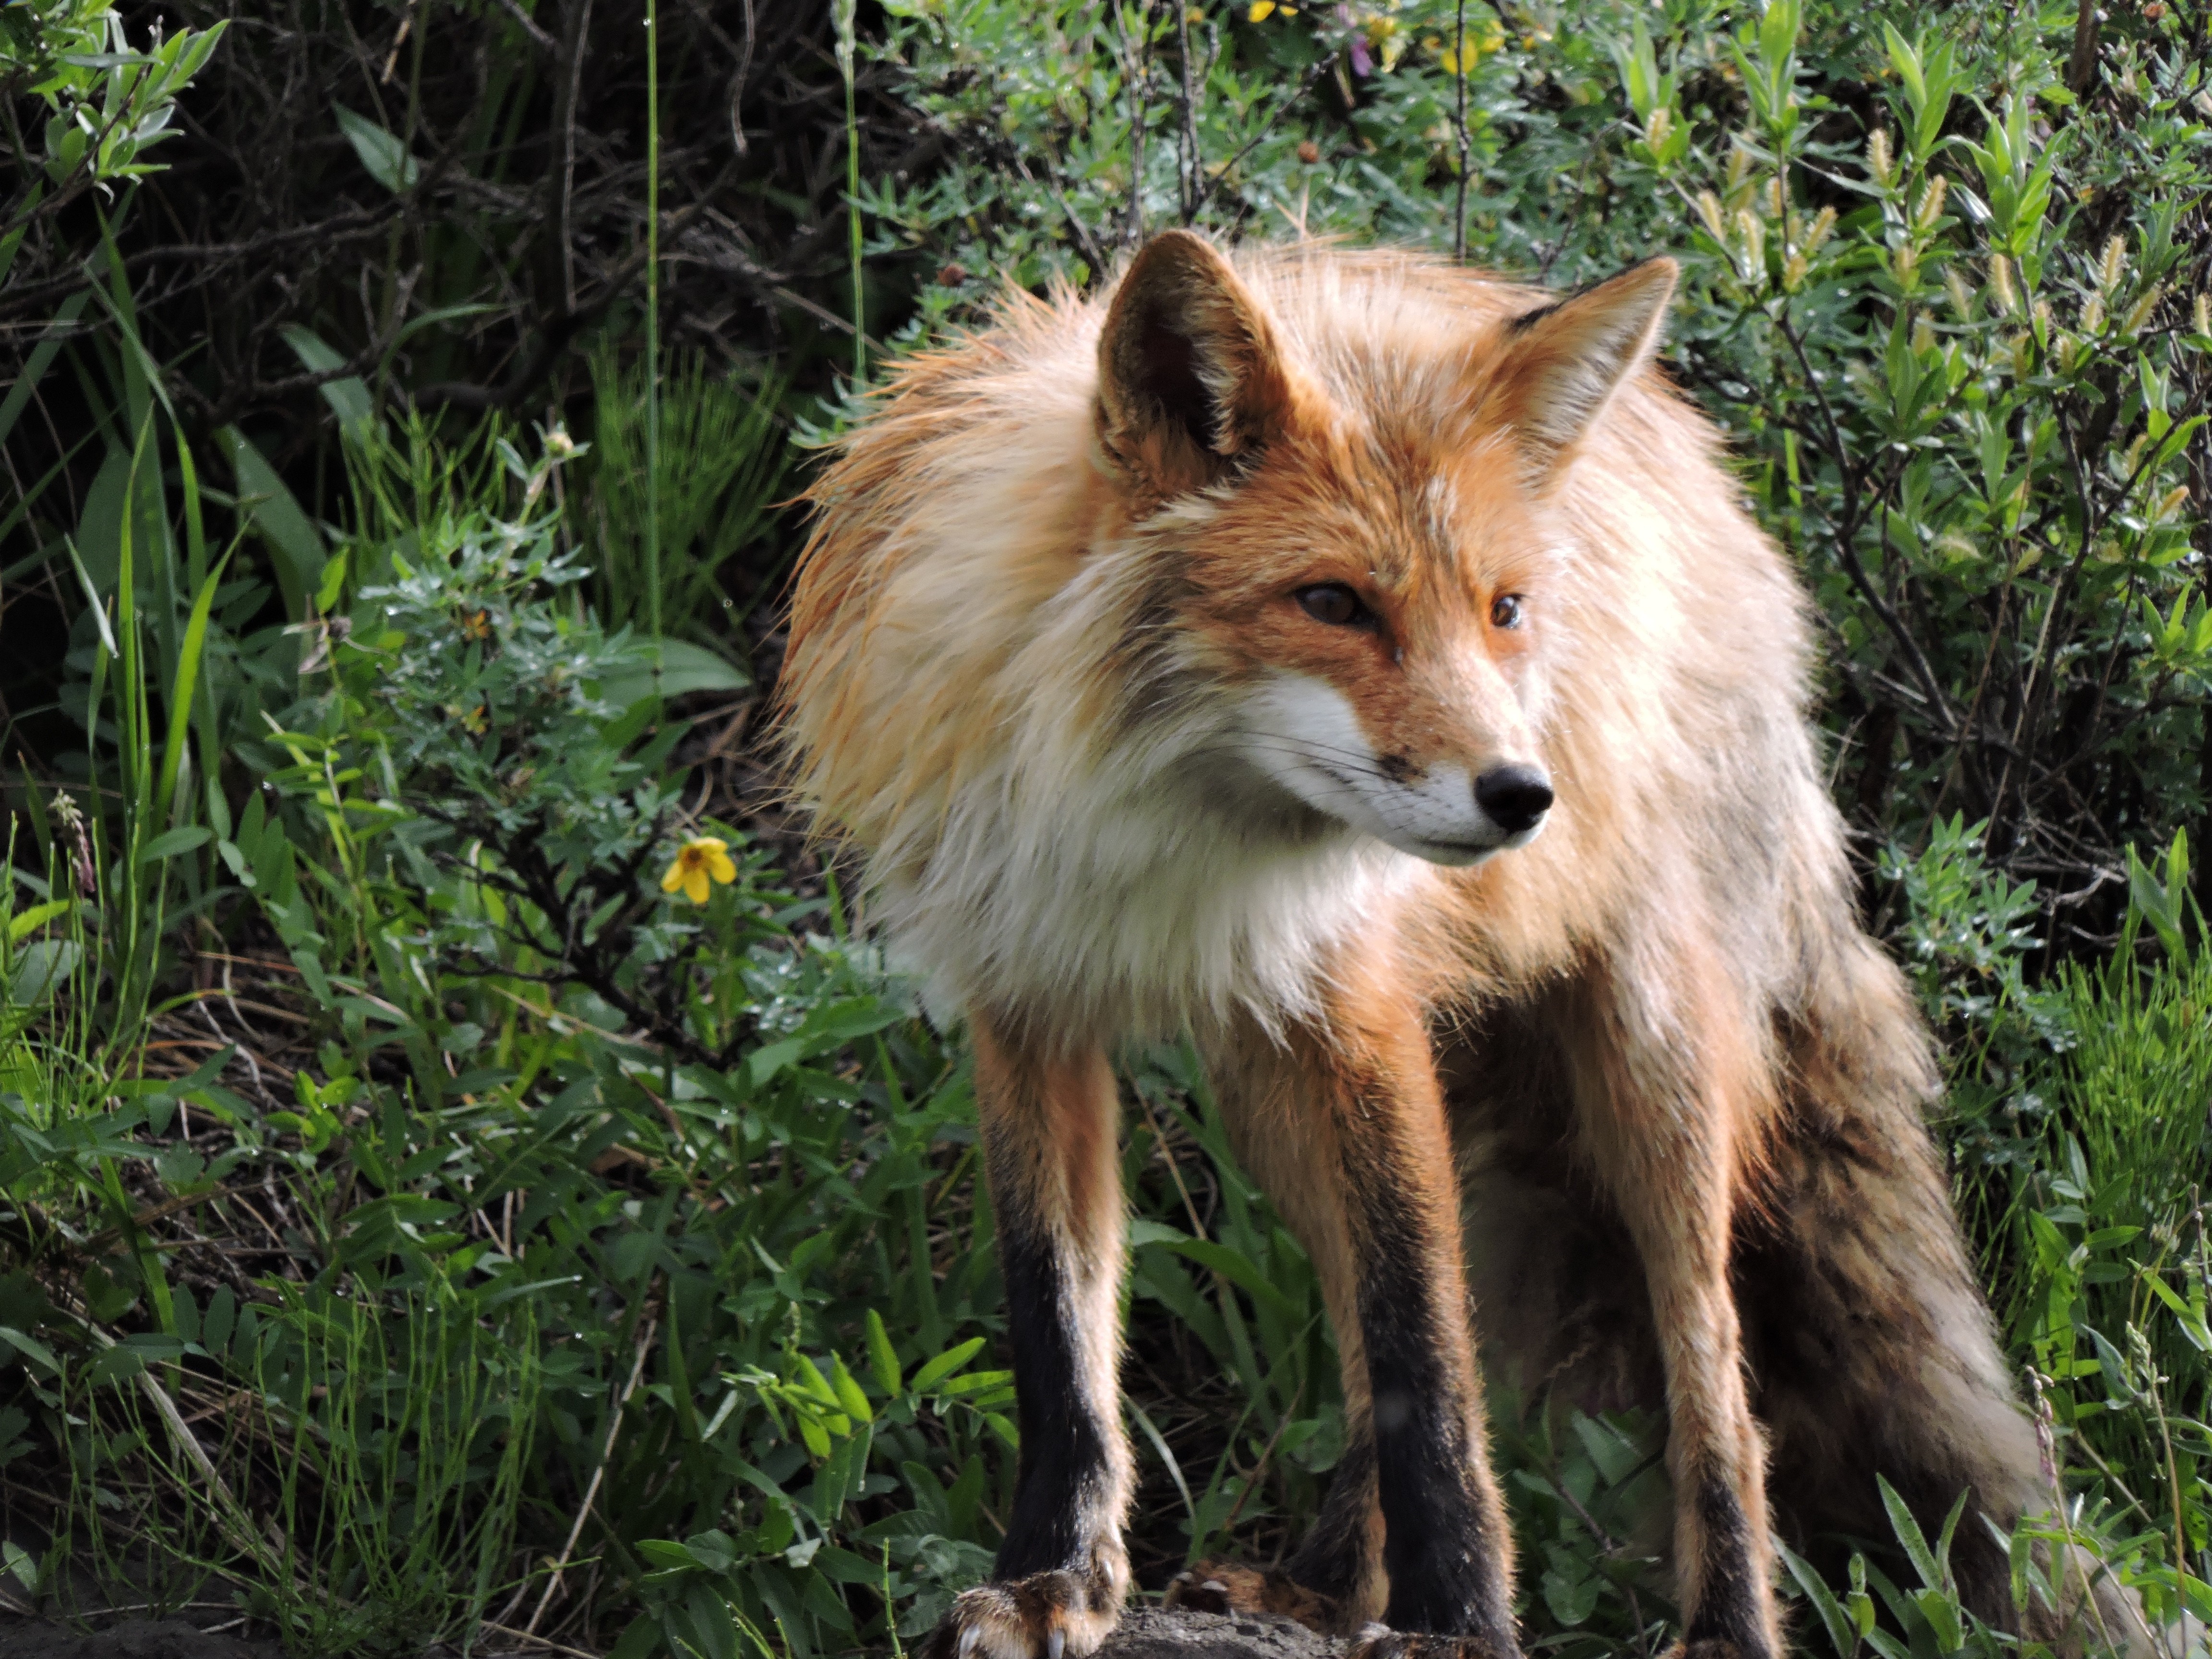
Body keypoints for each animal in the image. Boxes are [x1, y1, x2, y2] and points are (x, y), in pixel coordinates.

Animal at [779, 231, 2136, 1659]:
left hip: (1651, 1060)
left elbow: (1423, 1351)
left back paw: (1723, 1625)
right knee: (1373, 1335)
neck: (1170, 824)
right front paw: (1059, 1579)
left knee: (1715, 1371)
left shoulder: (1361, 1005)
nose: (1522, 796)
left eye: (1503, 609)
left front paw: (1462, 1619)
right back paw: (1326, 1588)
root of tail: (1717, 487)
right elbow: (1065, 1337)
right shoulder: (1027, 1001)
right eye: (1331, 601)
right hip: (1269, 1088)